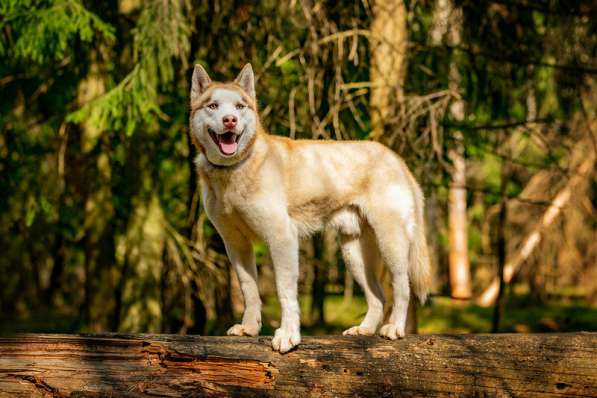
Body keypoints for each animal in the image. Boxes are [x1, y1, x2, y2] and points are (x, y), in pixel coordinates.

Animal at [189, 63, 430, 352]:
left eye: (240, 106)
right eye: (213, 106)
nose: (230, 121)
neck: (235, 170)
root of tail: (396, 158)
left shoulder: (282, 237)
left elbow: (285, 291)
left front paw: (288, 335)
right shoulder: (235, 243)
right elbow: (249, 287)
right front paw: (249, 328)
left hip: (391, 241)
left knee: (402, 286)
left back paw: (394, 328)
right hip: (354, 253)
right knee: (377, 296)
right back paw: (364, 329)